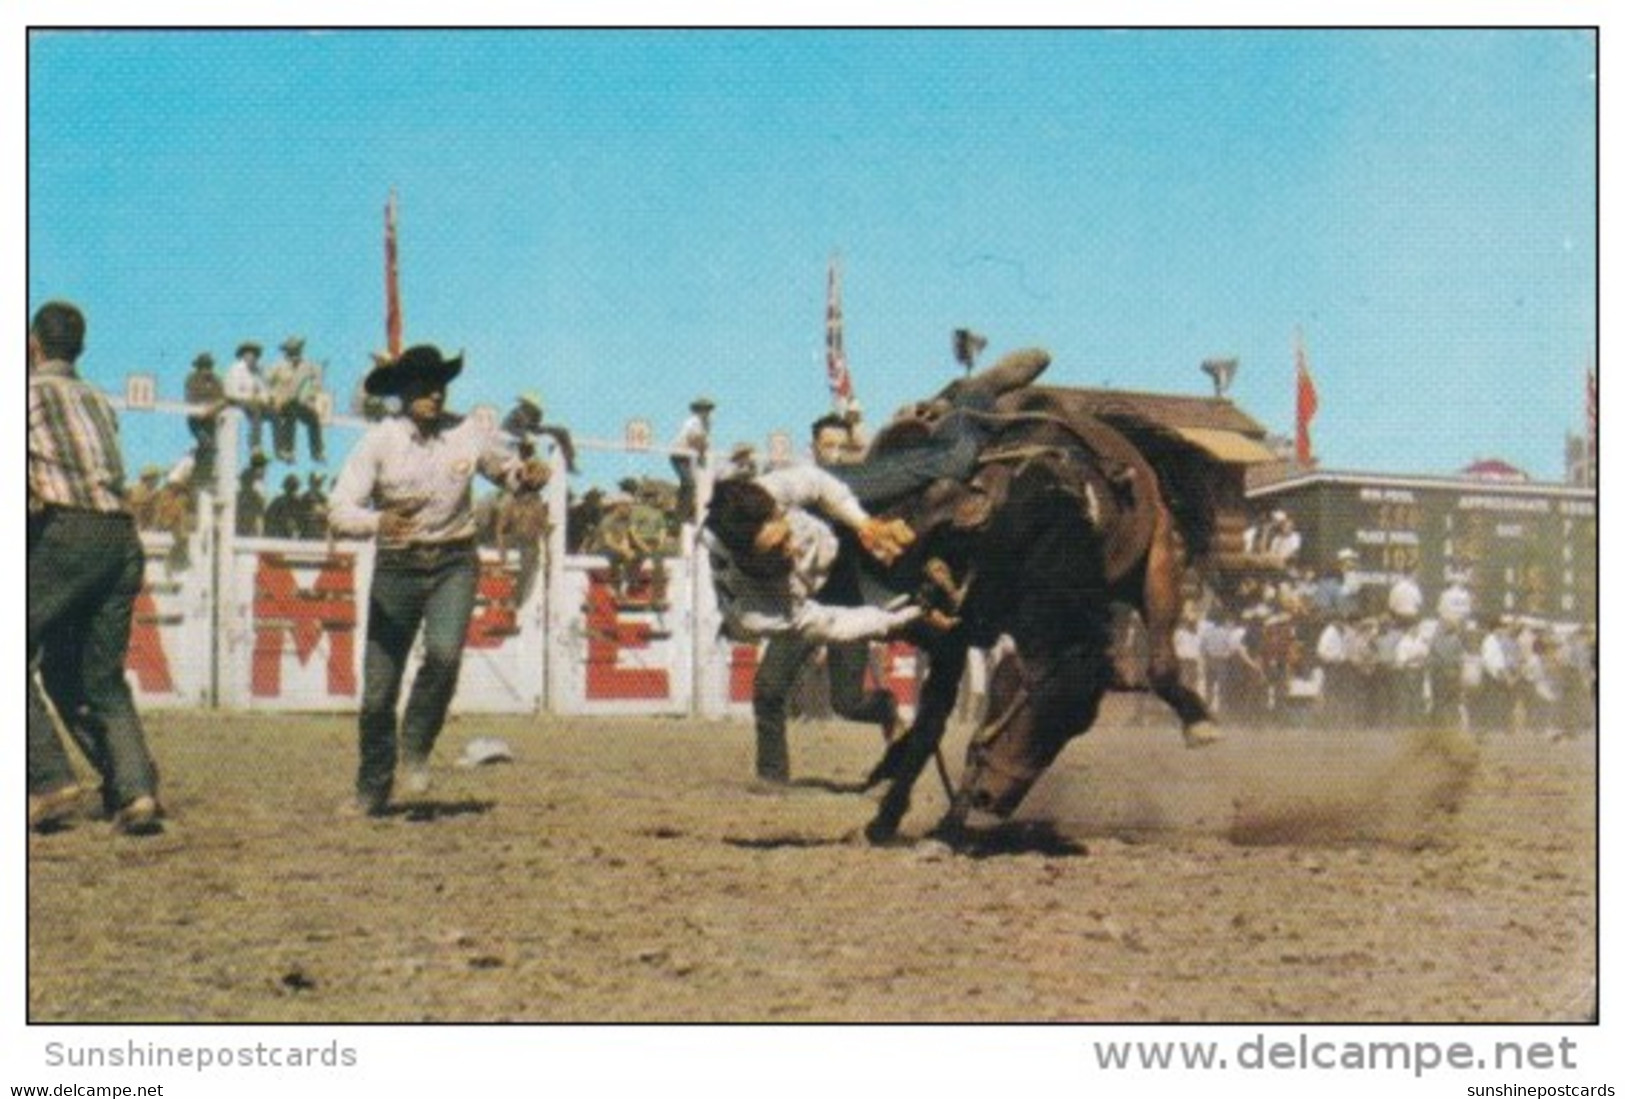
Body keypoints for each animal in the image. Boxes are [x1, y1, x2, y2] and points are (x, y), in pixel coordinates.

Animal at [858, 347, 1222, 845]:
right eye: (1035, 712)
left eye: (1070, 731)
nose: (995, 801)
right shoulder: (954, 632)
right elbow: (931, 721)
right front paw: (890, 810)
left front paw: (935, 818)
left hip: (1160, 557)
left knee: (1163, 661)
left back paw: (1198, 721)